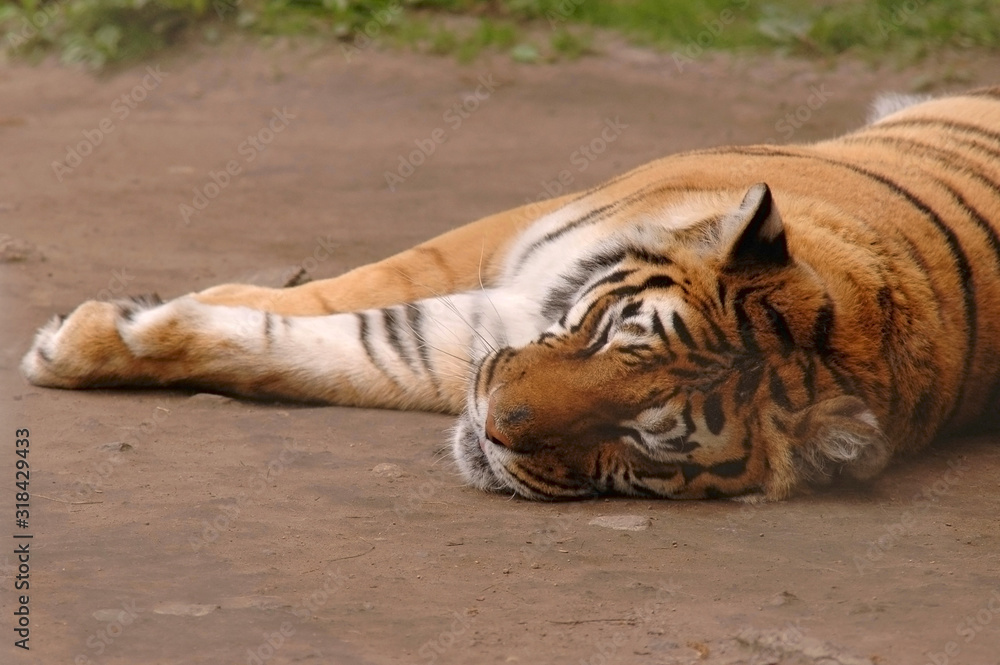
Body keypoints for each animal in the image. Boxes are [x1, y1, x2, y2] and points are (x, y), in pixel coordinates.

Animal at [21, 87, 1000, 501]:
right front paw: (84, 341)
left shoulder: (466, 341)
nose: (491, 428)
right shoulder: (506, 245)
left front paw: (94, 338)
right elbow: (370, 284)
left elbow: (337, 347)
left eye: (641, 438)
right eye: (610, 333)